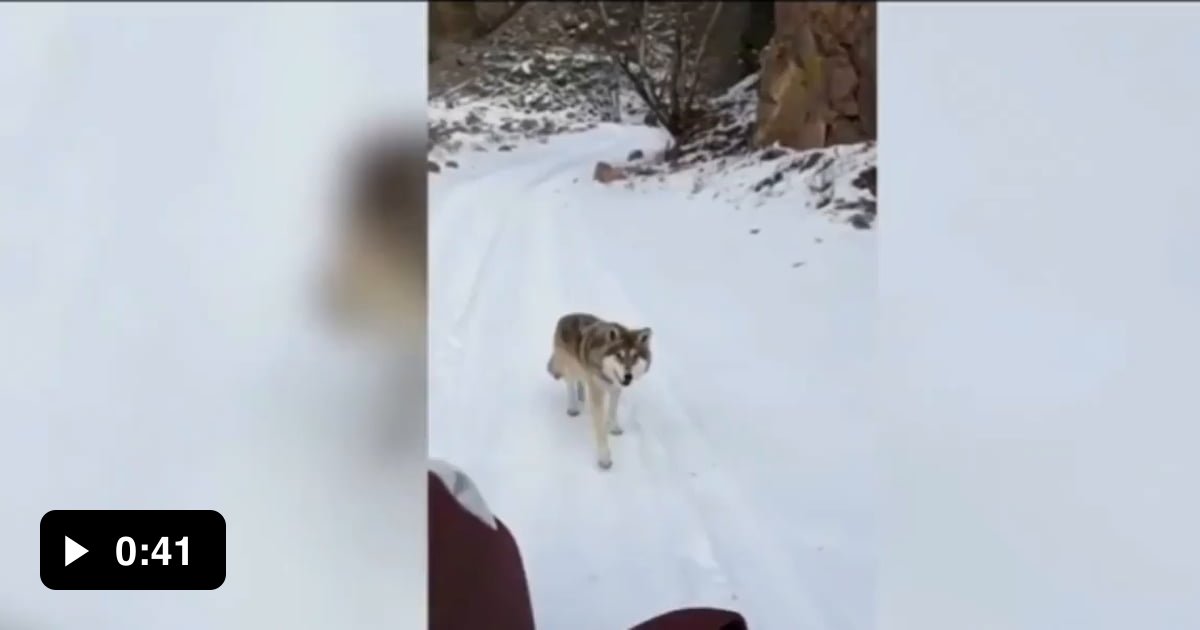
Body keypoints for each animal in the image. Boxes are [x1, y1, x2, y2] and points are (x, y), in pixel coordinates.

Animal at [546, 312, 652, 470]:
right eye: (619, 355)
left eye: (634, 357)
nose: (628, 376)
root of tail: (565, 317)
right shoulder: (597, 393)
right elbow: (601, 429)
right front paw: (604, 459)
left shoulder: (616, 389)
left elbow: (613, 411)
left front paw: (614, 428)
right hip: (571, 368)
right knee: (570, 385)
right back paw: (573, 408)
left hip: (582, 371)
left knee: (581, 383)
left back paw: (582, 397)